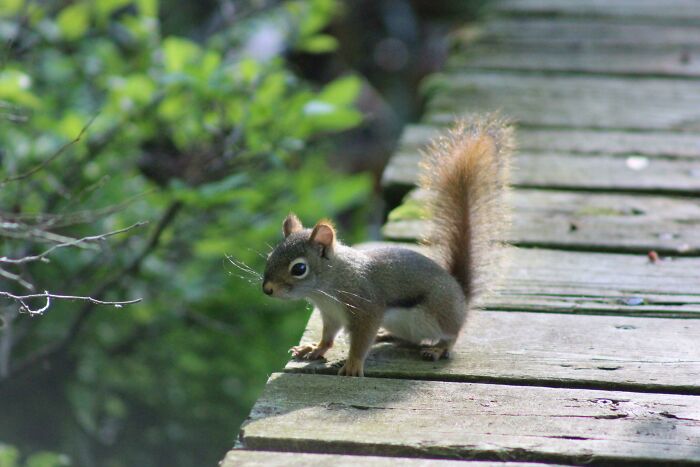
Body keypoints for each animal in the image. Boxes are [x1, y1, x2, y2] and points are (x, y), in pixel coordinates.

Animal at [262, 115, 513, 377]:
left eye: (299, 269)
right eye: (270, 257)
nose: (267, 289)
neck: (328, 286)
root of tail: (461, 295)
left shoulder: (367, 308)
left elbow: (361, 341)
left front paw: (353, 365)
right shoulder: (331, 314)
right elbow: (328, 337)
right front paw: (314, 348)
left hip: (441, 312)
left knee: (451, 335)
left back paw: (438, 348)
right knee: (412, 339)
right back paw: (387, 336)